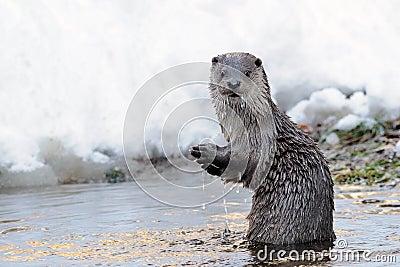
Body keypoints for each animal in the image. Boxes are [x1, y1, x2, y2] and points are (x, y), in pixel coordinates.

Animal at [190, 52, 334, 247]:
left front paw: (207, 152)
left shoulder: (261, 145)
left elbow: (244, 164)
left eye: (247, 72)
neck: (250, 129)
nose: (233, 83)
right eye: (223, 72)